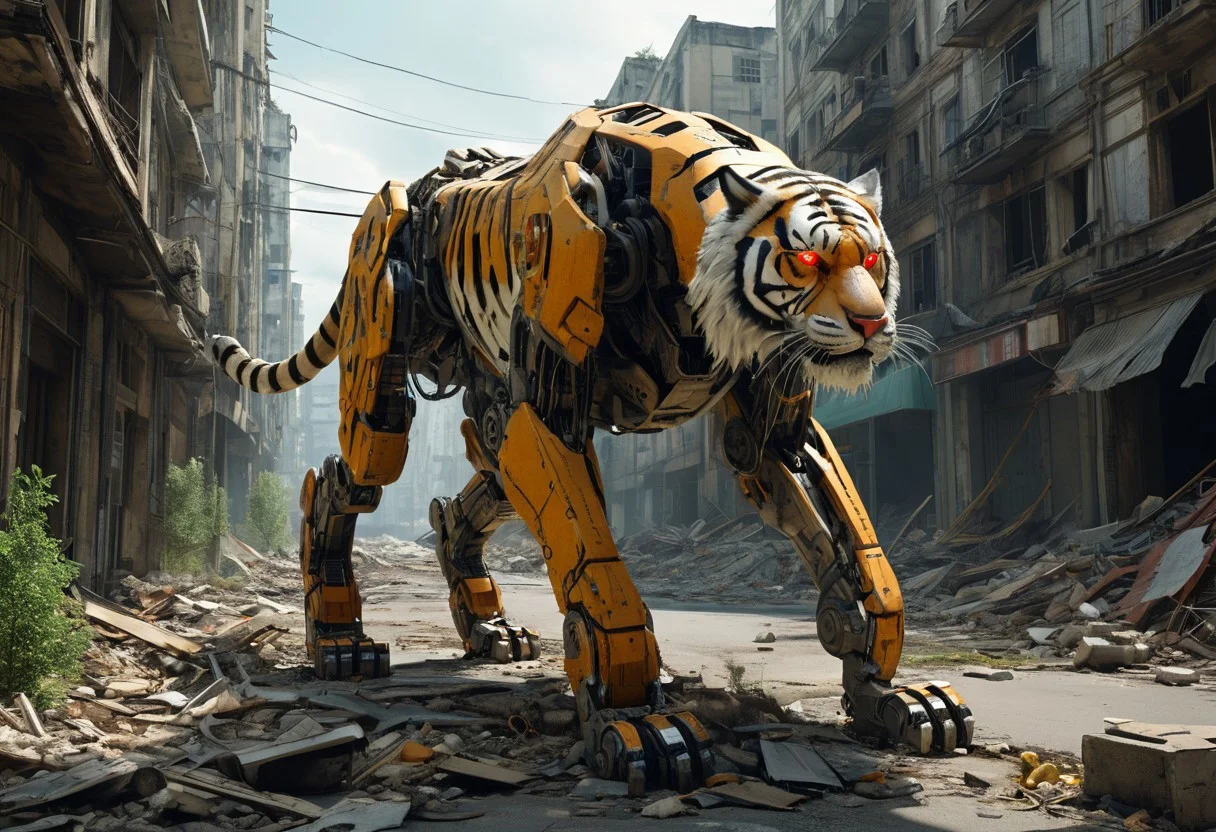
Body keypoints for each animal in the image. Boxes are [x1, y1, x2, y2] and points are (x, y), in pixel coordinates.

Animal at [203, 104, 968, 789]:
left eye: (873, 257)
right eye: (807, 258)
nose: (872, 323)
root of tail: (412, 186)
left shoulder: (766, 423)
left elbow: (851, 550)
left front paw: (886, 689)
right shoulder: (551, 392)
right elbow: (595, 561)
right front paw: (635, 718)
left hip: (488, 401)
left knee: (467, 499)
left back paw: (487, 626)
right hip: (389, 357)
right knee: (350, 473)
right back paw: (338, 640)